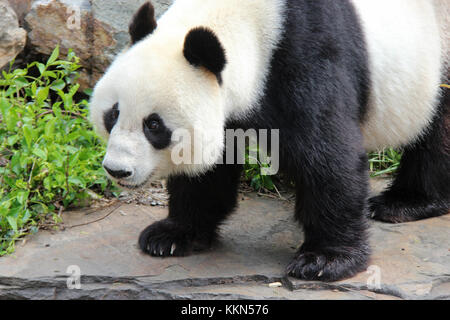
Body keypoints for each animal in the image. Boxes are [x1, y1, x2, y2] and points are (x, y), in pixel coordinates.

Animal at [89, 0, 448, 282]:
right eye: (113, 114)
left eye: (154, 125)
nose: (118, 170)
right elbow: (209, 171)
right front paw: (173, 235)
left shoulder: (306, 55)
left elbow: (328, 158)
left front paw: (324, 260)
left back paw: (405, 202)